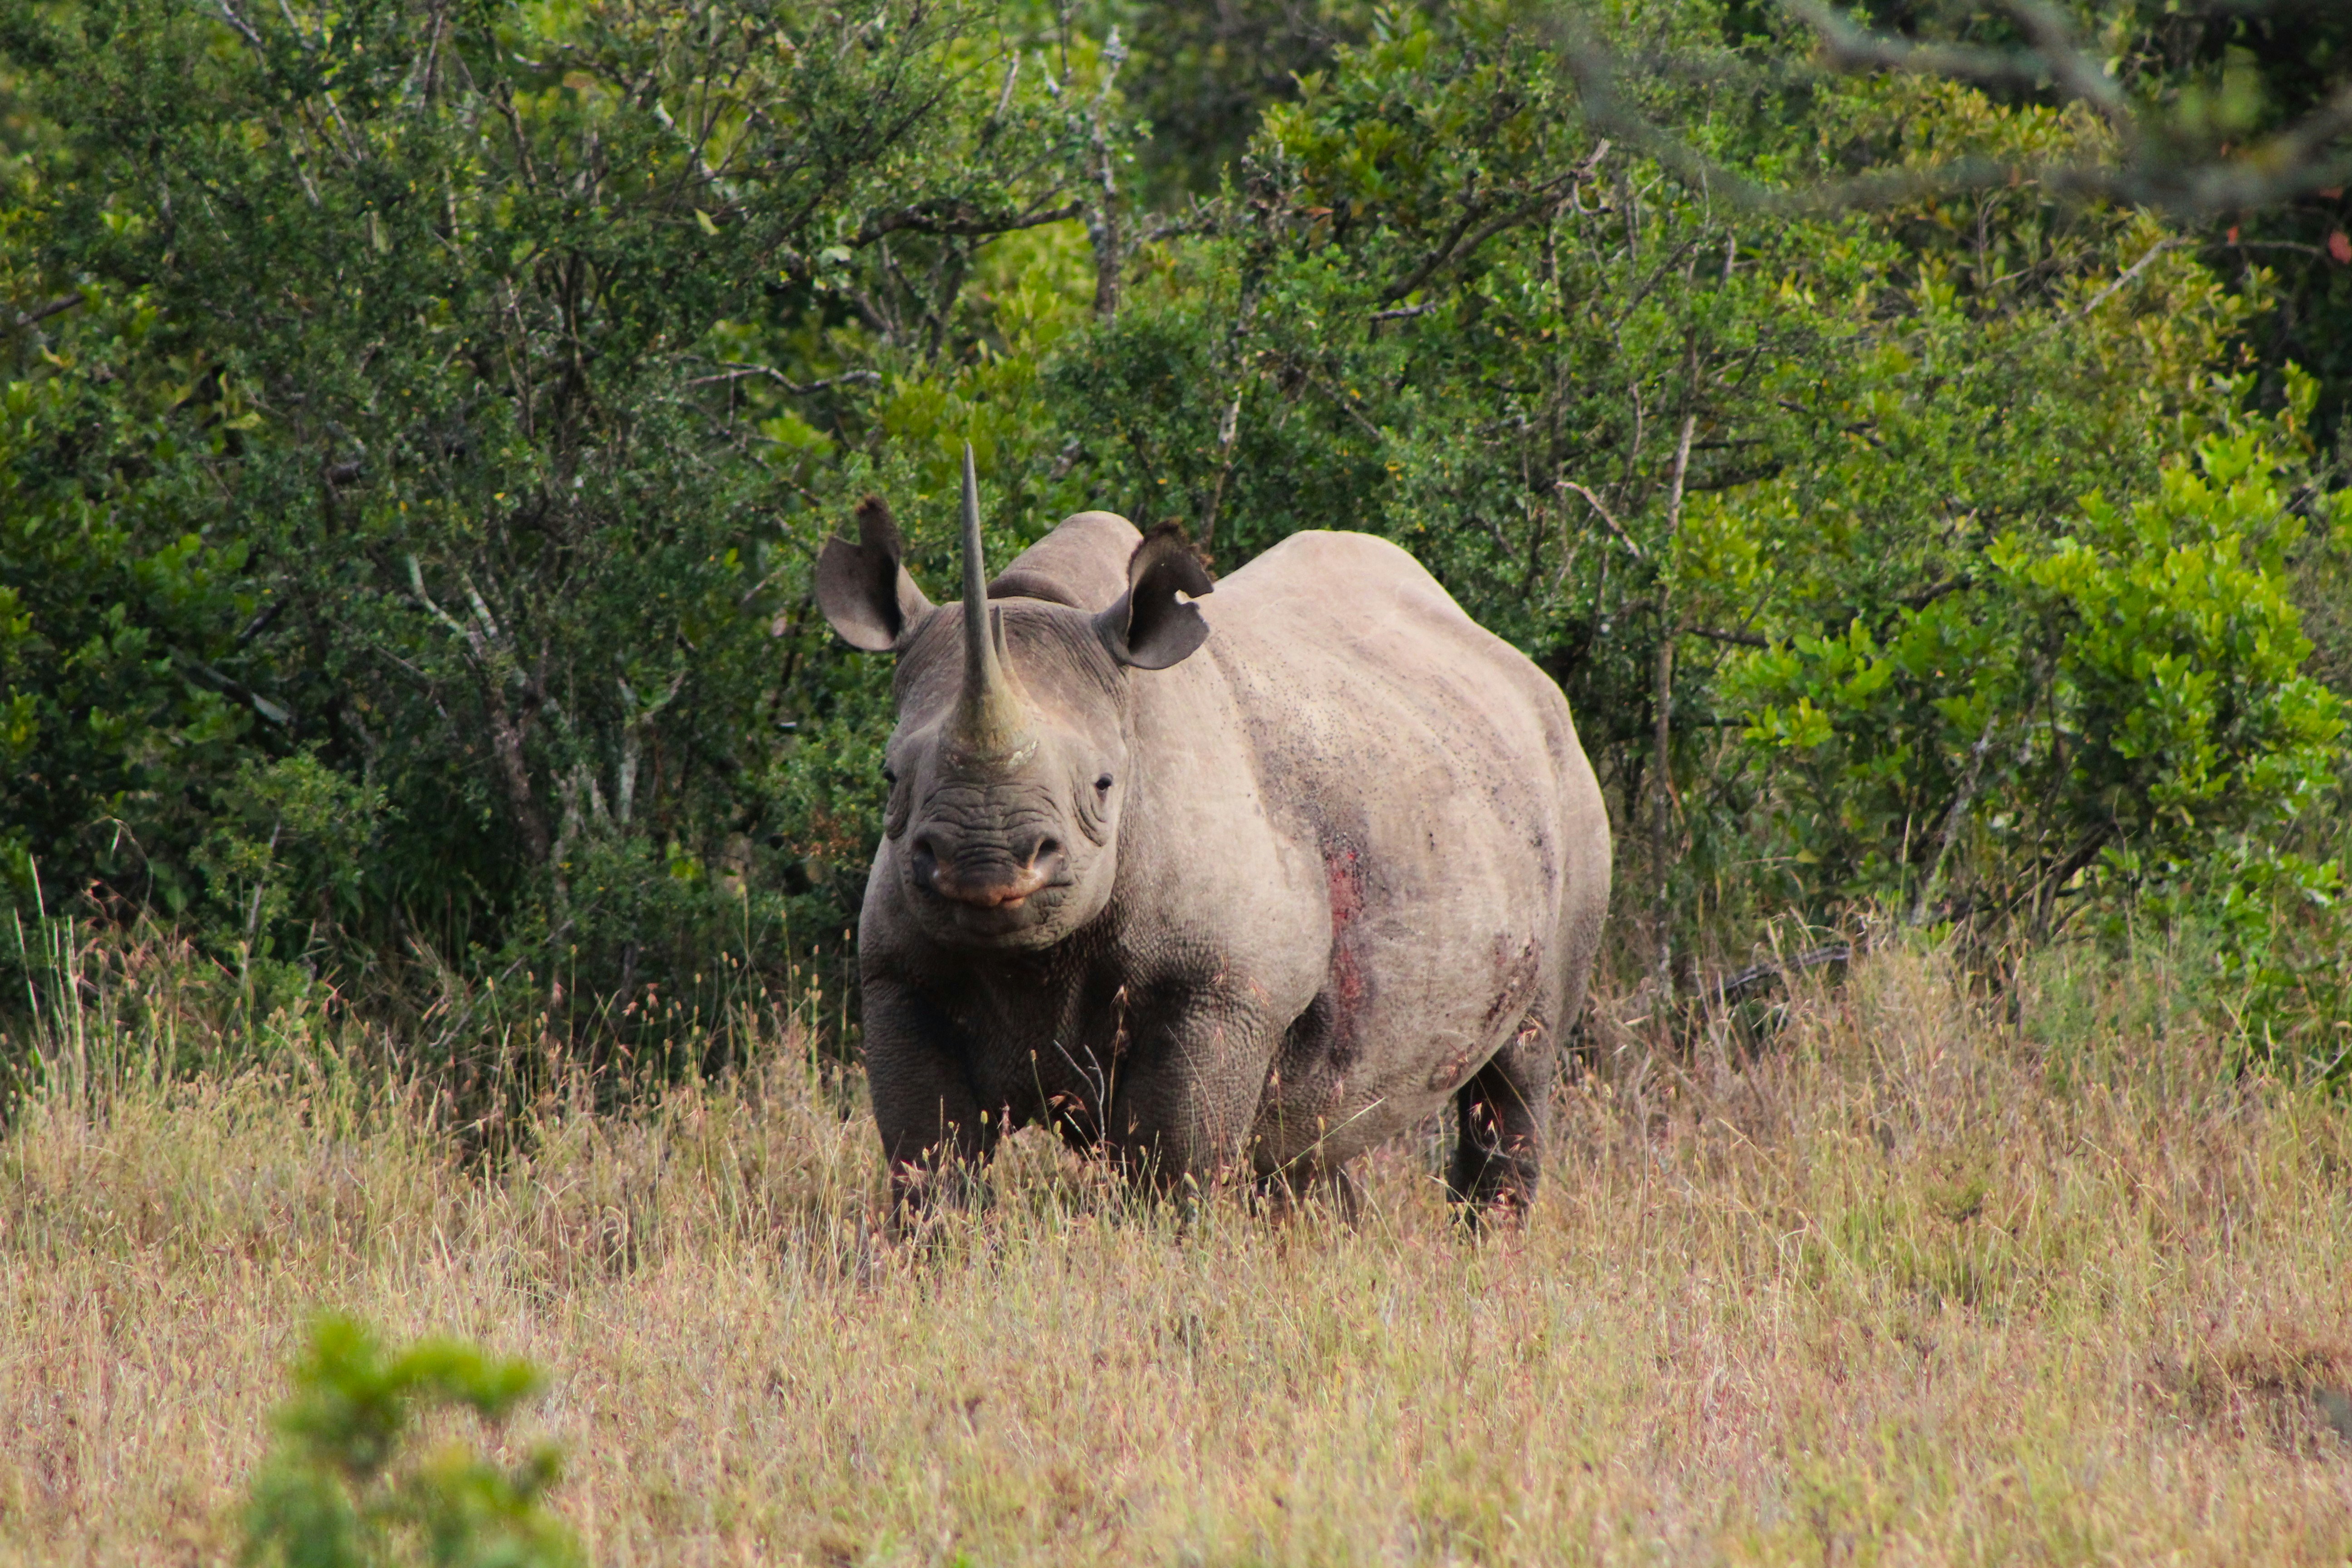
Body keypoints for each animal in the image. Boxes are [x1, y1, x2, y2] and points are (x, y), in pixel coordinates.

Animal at [816, 447, 1609, 1223]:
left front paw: (1163, 1252)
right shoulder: (901, 976)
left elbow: (1173, 1171)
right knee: (1316, 1125)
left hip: (1570, 797)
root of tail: (1529, 678)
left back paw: (1492, 1238)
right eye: (890, 777)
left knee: (1520, 1070)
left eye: (1103, 786)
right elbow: (930, 1162)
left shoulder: (1219, 991)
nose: (981, 864)